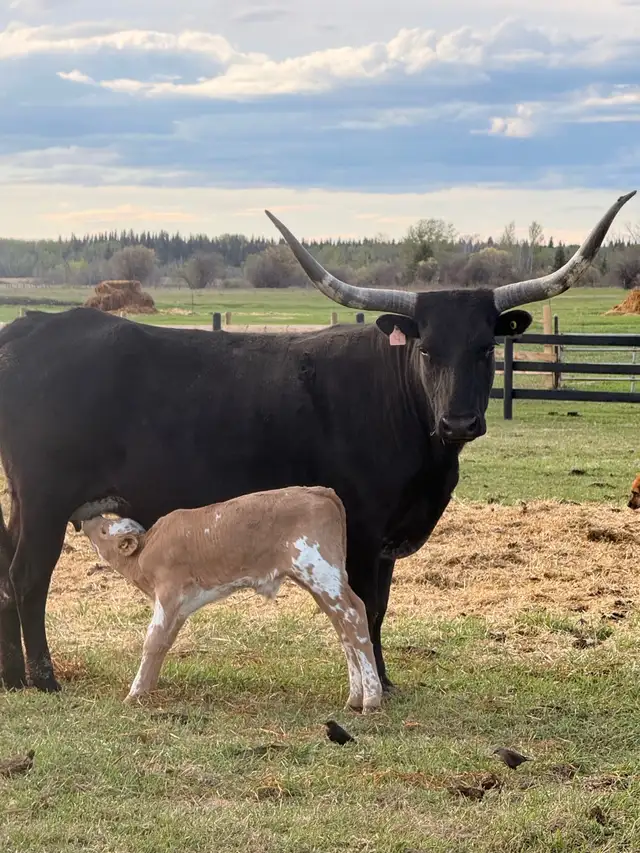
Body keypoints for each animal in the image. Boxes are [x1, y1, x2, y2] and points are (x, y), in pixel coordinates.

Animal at [72, 488, 382, 711]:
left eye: (104, 530)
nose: (86, 520)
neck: (145, 553)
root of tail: (320, 491)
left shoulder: (169, 592)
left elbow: (153, 640)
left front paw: (134, 693)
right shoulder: (179, 607)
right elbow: (164, 642)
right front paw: (147, 689)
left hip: (321, 571)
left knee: (354, 615)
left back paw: (371, 699)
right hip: (320, 582)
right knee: (343, 628)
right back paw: (355, 698)